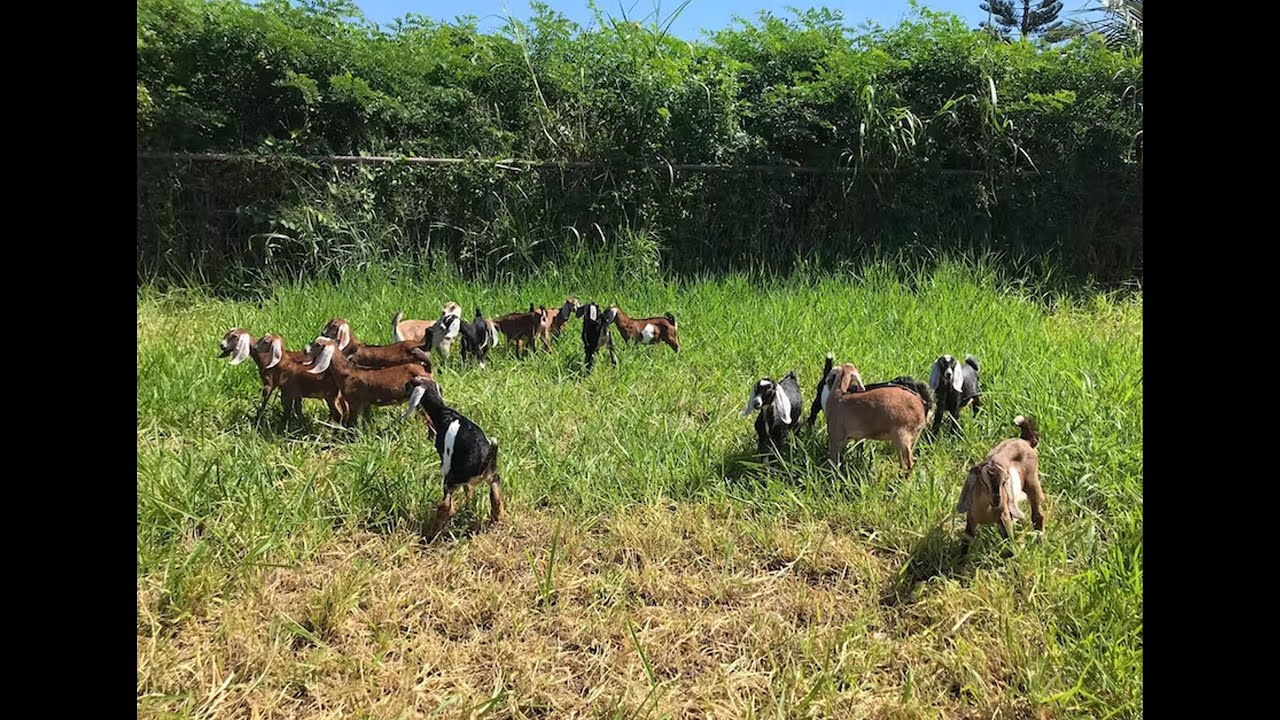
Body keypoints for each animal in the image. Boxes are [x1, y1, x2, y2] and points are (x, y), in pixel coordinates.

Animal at [401, 377, 504, 539]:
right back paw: (497, 518)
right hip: (491, 475)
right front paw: (469, 504)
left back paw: (430, 534)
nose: (402, 388)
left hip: (451, 480)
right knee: (495, 495)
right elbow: (469, 490)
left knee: (446, 506)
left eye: (411, 383)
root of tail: (483, 461)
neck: (443, 413)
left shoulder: (447, 461)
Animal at [955, 415, 1045, 554]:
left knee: (1038, 514)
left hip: (1032, 481)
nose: (997, 499)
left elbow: (1009, 540)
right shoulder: (971, 517)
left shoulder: (1004, 516)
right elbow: (967, 538)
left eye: (1005, 481)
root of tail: (1025, 441)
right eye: (982, 481)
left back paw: (1039, 540)